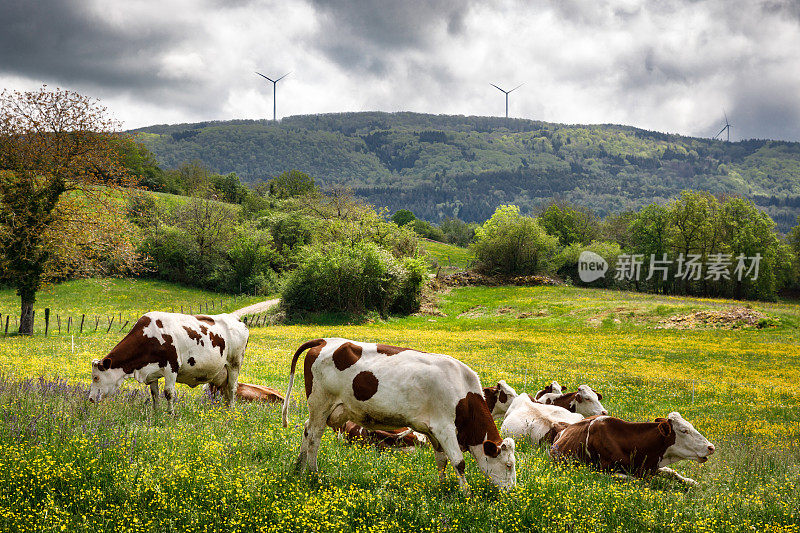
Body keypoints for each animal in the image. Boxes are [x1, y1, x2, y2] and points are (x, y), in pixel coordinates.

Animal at [88, 312, 248, 416]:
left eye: (96, 377)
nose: (90, 399)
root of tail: (236, 318)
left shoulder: (171, 368)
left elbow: (169, 393)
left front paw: (170, 413)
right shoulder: (151, 373)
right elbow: (154, 394)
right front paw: (156, 412)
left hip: (234, 364)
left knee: (232, 388)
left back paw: (231, 410)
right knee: (221, 390)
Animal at [282, 338, 520, 492]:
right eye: (509, 465)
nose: (512, 492)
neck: (462, 392)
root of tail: (325, 340)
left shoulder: (432, 430)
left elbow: (441, 460)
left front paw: (443, 487)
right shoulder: (445, 428)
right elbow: (459, 462)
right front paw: (467, 494)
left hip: (327, 410)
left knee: (307, 431)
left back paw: (298, 468)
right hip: (321, 403)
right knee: (314, 436)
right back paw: (313, 474)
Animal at [552, 412, 720, 486]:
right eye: (684, 430)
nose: (711, 447)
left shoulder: (650, 466)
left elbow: (673, 473)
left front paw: (692, 482)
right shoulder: (605, 471)